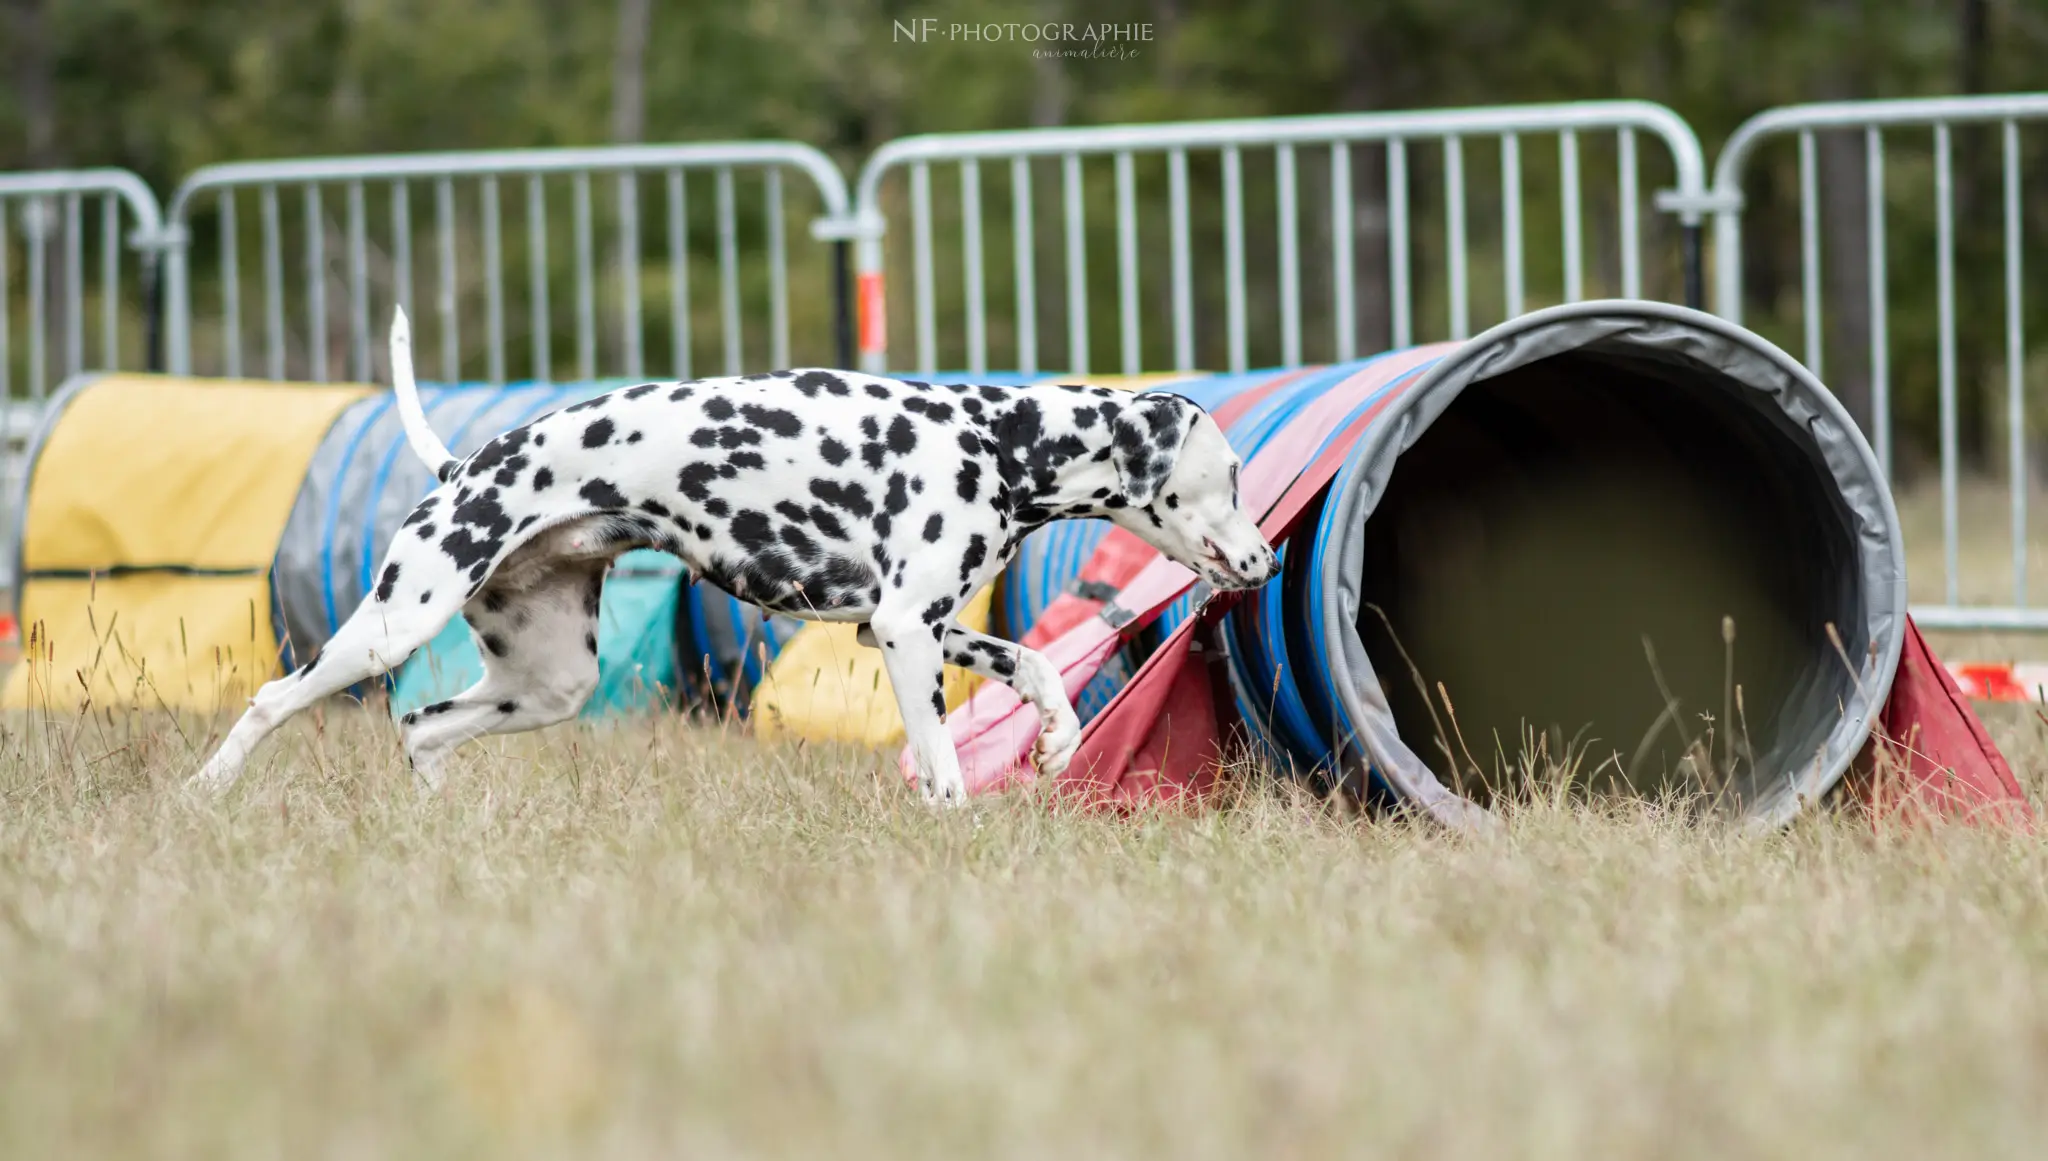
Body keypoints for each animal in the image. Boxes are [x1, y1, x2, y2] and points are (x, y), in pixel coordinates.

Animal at [192, 305, 1277, 802]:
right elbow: (940, 760)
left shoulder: (916, 628)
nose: (1267, 560)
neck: (995, 443)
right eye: (1228, 474)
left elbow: (1040, 663)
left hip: (549, 683)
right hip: (389, 625)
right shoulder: (901, 632)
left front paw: (1055, 738)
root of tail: (466, 462)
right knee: (273, 699)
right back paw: (207, 791)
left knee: (420, 728)